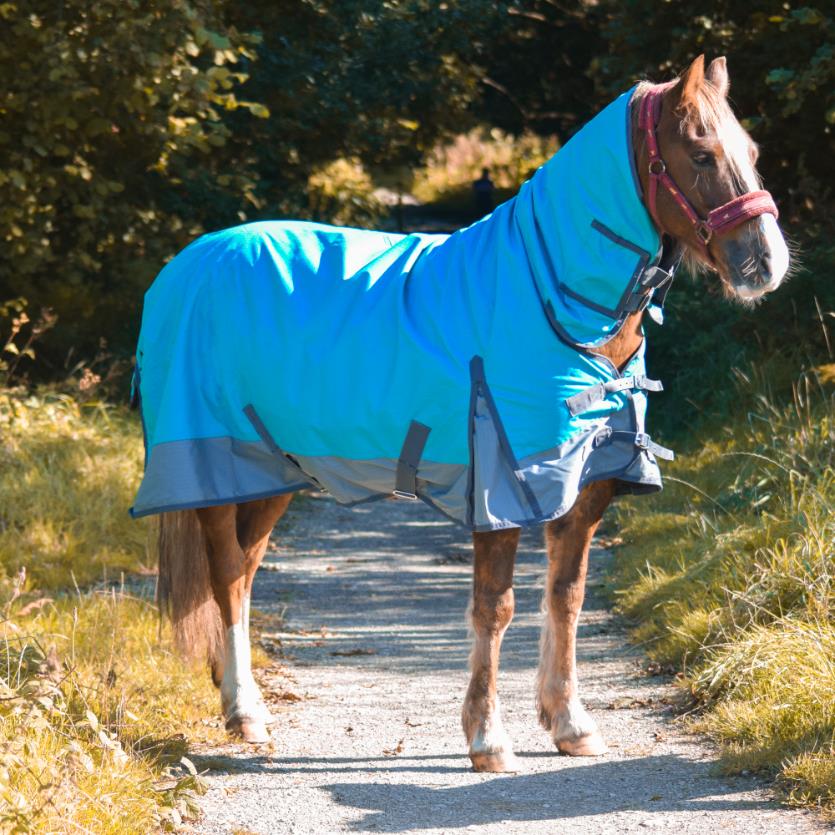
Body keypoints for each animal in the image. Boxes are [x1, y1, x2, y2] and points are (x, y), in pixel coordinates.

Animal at [134, 55, 790, 773]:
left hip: (275, 468)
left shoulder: (584, 487)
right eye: (699, 154)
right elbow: (495, 607)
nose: (766, 262)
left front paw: (569, 724)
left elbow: (565, 596)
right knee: (227, 575)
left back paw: (239, 698)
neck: (548, 297)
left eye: (753, 152)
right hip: (218, 464)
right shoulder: (499, 487)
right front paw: (487, 739)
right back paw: (245, 713)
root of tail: (187, 263)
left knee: (247, 574)